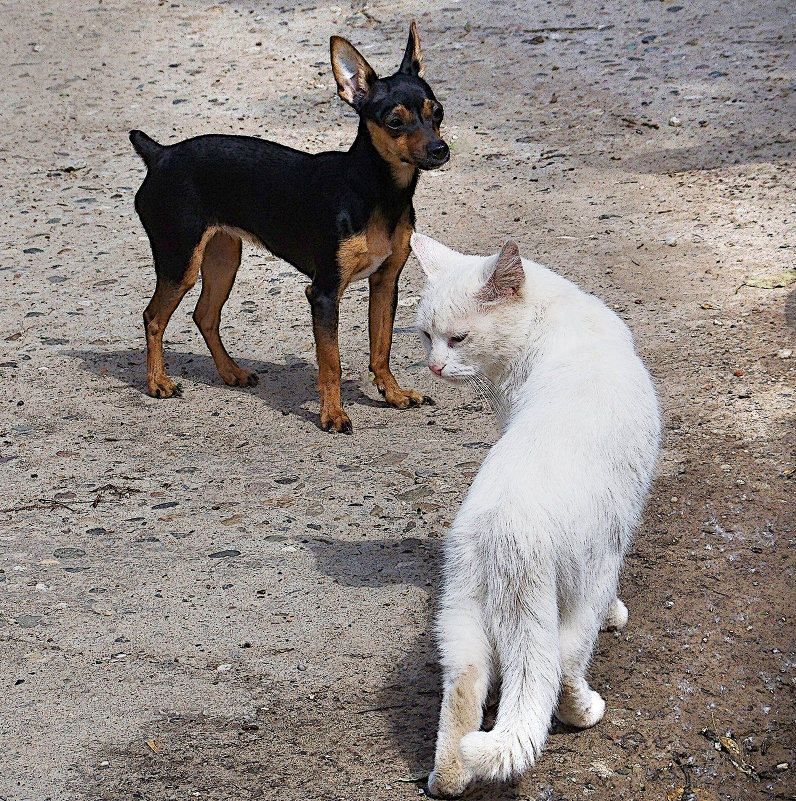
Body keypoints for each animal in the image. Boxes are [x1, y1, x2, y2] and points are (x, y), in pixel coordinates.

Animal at [131, 21, 448, 432]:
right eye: (395, 122)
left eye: (437, 113)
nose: (440, 149)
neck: (376, 192)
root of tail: (161, 154)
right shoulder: (324, 294)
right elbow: (331, 363)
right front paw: (332, 414)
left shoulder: (384, 284)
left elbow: (381, 349)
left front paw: (392, 394)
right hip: (180, 263)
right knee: (153, 317)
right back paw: (158, 382)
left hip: (223, 258)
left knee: (204, 315)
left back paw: (231, 372)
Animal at [410, 231, 660, 792]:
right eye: (426, 336)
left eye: (455, 339)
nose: (434, 367)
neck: (552, 320)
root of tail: (512, 533)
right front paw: (619, 614)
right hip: (586, 583)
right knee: (562, 669)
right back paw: (586, 710)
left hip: (461, 614)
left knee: (464, 688)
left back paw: (449, 778)